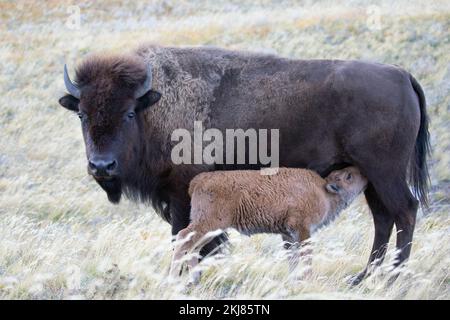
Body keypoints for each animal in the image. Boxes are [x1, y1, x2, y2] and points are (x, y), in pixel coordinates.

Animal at [171, 168, 368, 280]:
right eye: (349, 176)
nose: (365, 175)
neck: (322, 191)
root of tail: (199, 180)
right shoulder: (303, 230)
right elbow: (306, 256)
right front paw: (308, 279)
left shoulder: (288, 234)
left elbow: (293, 258)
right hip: (209, 225)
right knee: (183, 238)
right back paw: (174, 278)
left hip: (207, 228)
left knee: (193, 246)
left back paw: (195, 279)